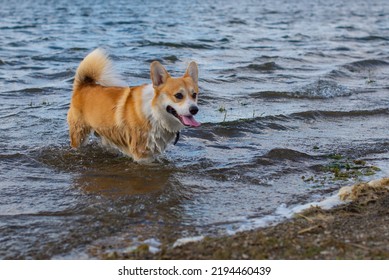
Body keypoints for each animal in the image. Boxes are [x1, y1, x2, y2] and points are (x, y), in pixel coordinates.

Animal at [66, 48, 200, 162]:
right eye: (178, 95)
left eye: (194, 94)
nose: (195, 109)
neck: (154, 113)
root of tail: (83, 85)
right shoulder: (142, 154)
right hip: (79, 133)